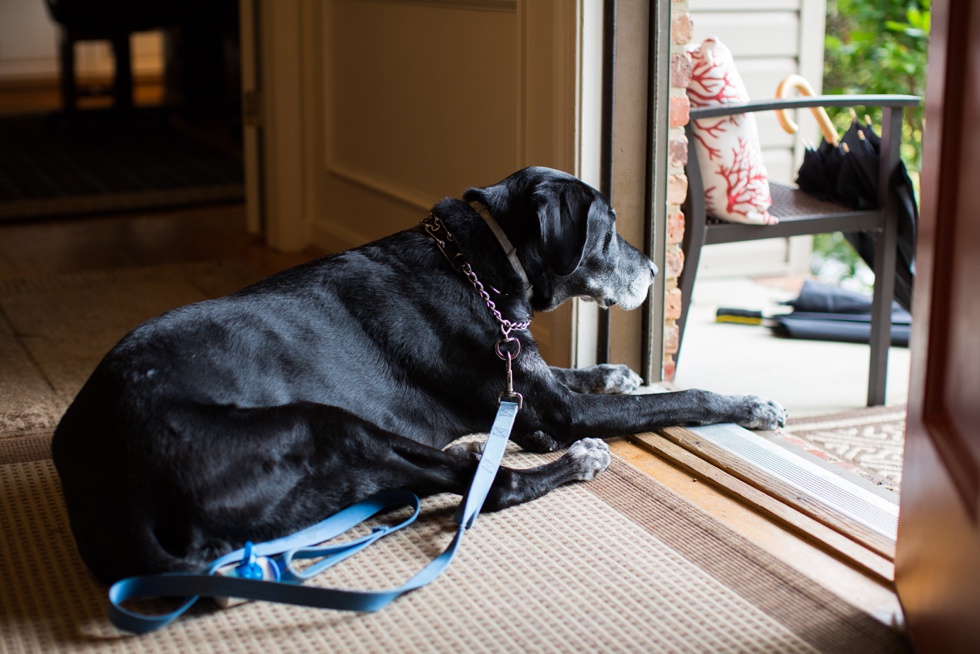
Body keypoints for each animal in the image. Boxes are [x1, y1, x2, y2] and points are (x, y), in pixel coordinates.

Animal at [55, 168, 788, 584]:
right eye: (607, 229)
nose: (658, 272)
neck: (477, 261)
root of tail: (107, 489)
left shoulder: (531, 379)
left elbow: (581, 375)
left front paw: (619, 371)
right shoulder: (557, 412)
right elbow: (682, 396)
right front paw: (750, 404)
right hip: (327, 426)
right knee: (490, 489)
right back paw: (574, 461)